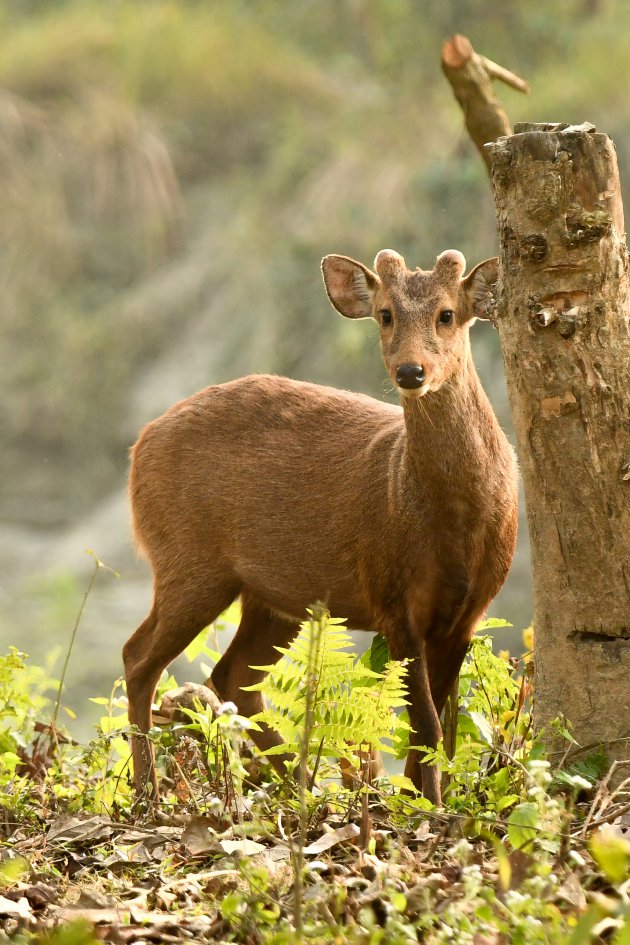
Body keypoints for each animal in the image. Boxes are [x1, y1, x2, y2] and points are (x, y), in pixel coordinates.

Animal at [122, 245, 520, 804]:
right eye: (385, 314)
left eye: (447, 314)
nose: (411, 371)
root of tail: (139, 446)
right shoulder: (391, 596)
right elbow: (425, 724)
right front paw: (427, 808)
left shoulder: (468, 611)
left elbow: (436, 727)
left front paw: (417, 800)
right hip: (187, 557)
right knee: (140, 659)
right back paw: (148, 791)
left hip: (273, 592)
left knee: (233, 674)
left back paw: (301, 786)